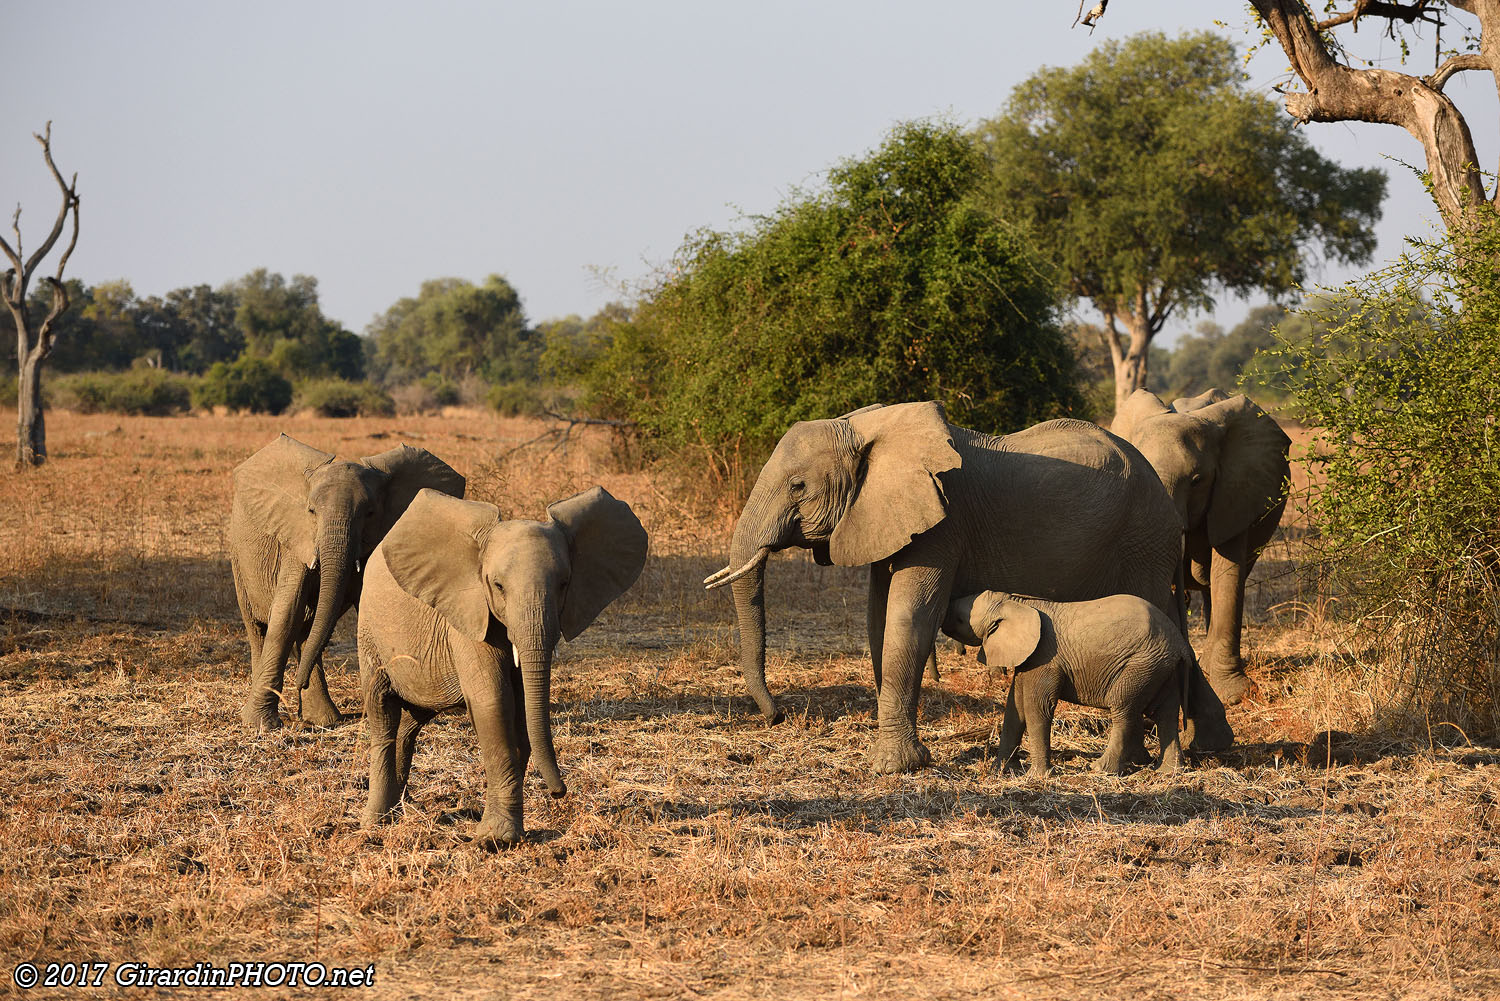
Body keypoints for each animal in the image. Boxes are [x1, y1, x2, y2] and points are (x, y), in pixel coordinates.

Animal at [225, 435, 462, 732]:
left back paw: (323, 719)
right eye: (311, 511)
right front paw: (260, 725)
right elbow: (287, 612)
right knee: (259, 626)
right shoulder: (297, 538)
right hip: (239, 557)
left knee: (308, 628)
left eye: (370, 513)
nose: (297, 685)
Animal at [363, 486, 651, 846]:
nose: (559, 792)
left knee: (413, 719)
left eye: (564, 584)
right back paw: (376, 822)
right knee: (382, 710)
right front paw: (496, 841)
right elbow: (495, 702)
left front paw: (504, 834)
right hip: (370, 633)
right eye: (498, 586)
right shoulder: (468, 613)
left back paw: (401, 810)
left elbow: (522, 709)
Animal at [948, 591, 1194, 780]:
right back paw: (1168, 772)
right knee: (1167, 715)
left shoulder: (1046, 657)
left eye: (960, 619)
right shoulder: (1029, 658)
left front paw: (1038, 776)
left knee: (1124, 709)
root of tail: (1180, 644)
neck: (1017, 602)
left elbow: (1038, 707)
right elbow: (1014, 707)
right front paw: (1001, 771)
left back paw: (1100, 770)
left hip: (1141, 665)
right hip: (1162, 667)